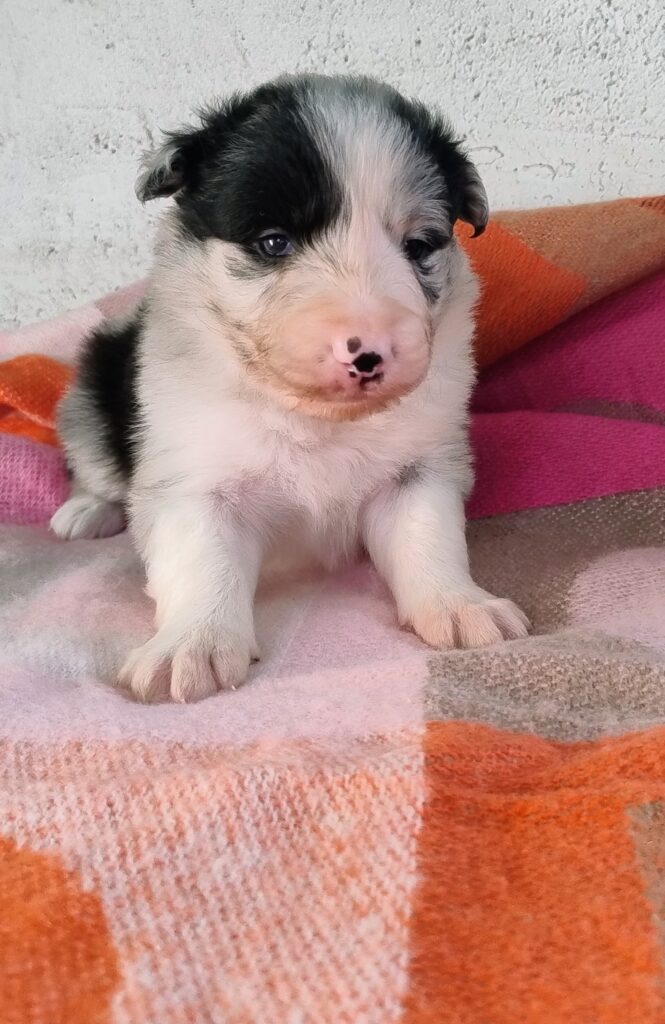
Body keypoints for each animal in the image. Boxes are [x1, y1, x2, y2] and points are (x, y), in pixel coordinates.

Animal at [50, 74, 528, 704]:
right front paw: (191, 645)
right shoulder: (192, 478)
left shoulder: (419, 469)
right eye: (274, 243)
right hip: (94, 389)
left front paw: (461, 604)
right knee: (94, 463)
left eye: (419, 246)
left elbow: (428, 535)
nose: (369, 352)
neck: (315, 416)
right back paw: (86, 510)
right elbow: (201, 561)